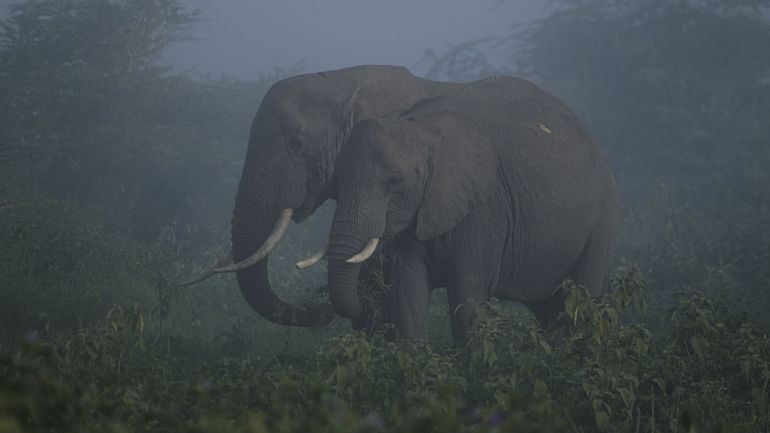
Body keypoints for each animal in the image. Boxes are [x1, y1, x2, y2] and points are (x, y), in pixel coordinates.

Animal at [316, 94, 616, 340]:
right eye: (336, 180)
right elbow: (407, 297)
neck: (419, 127)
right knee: (550, 309)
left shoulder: (485, 210)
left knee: (582, 301)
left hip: (601, 220)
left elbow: (468, 297)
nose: (364, 308)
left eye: (393, 181)